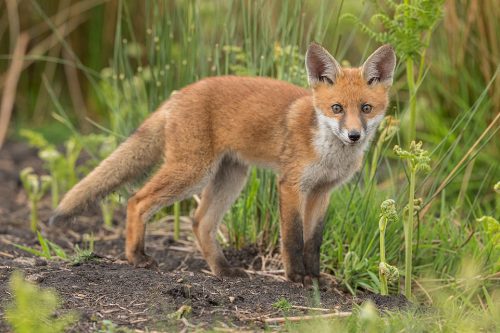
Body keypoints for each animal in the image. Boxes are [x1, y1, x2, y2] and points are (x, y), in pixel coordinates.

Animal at [50, 42, 394, 284]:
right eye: (337, 108)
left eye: (366, 108)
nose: (354, 135)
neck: (327, 150)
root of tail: (178, 94)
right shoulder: (291, 185)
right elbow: (293, 238)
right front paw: (296, 277)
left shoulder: (322, 191)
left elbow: (314, 241)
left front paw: (316, 279)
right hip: (193, 172)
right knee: (137, 200)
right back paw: (137, 257)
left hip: (231, 176)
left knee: (200, 222)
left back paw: (222, 269)